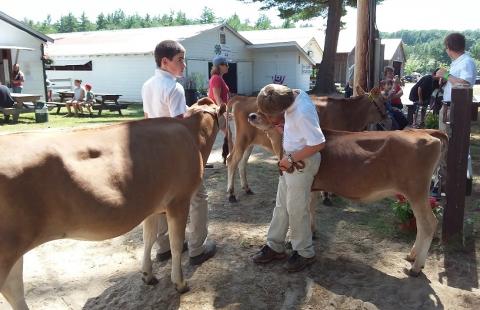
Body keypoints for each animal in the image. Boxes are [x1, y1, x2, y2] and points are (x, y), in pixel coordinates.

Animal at [0, 98, 225, 308]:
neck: (192, 134)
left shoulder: (152, 205)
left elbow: (149, 238)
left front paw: (148, 274)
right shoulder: (179, 200)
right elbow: (176, 244)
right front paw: (180, 283)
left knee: (14, 290)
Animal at [227, 88, 388, 203]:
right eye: (382, 101)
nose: (387, 117)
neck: (348, 113)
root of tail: (242, 98)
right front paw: (326, 195)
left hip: (250, 142)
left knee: (242, 162)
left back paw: (247, 188)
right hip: (242, 139)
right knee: (232, 160)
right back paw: (231, 194)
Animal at [249, 111, 448, 276]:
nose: (252, 115)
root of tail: (425, 132)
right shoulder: (313, 187)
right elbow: (311, 209)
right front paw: (312, 232)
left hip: (416, 191)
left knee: (428, 223)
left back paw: (416, 267)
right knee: (423, 224)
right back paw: (412, 256)